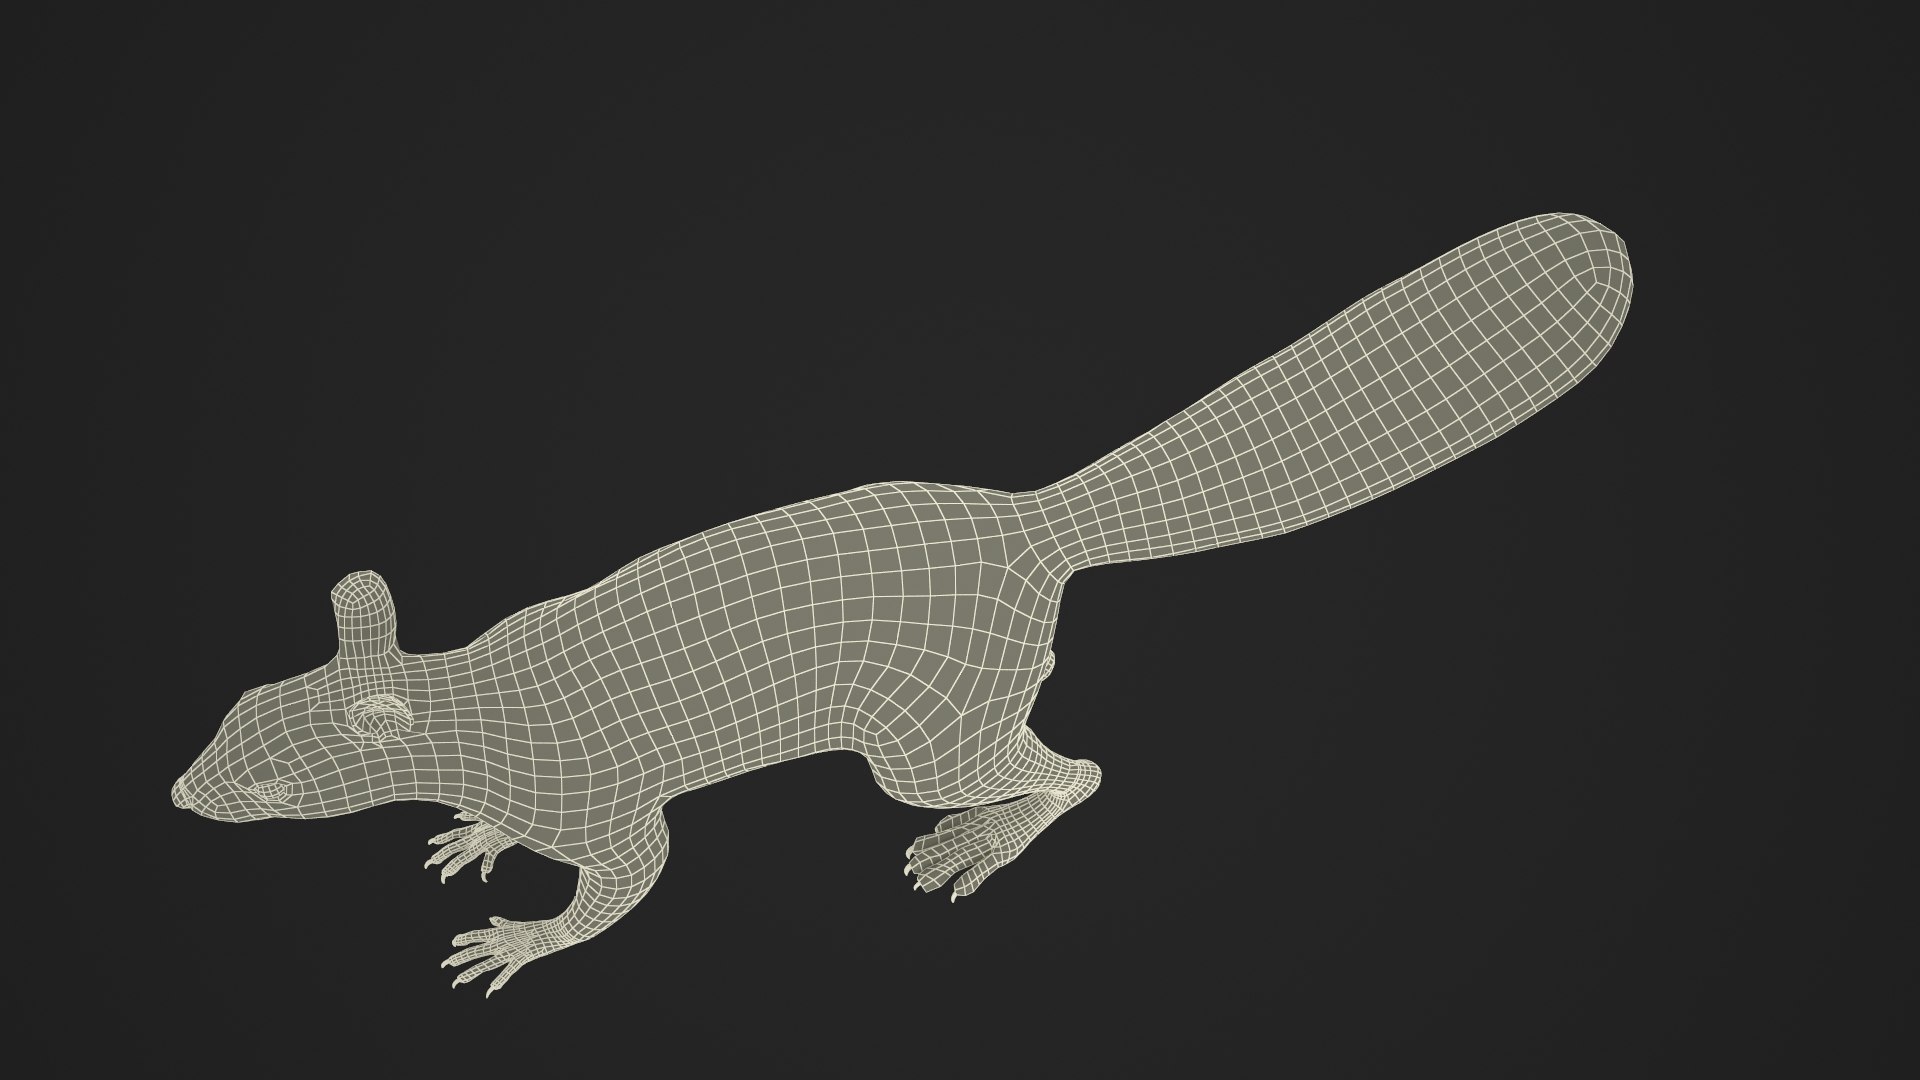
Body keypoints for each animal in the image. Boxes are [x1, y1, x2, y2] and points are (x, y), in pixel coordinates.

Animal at [174, 212, 1632, 996]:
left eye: (275, 782)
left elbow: (632, 878)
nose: (183, 796)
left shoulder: (598, 798)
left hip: (929, 736)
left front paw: (519, 940)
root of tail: (1034, 527)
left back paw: (981, 841)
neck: (463, 695)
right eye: (235, 712)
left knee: (1076, 774)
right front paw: (474, 833)